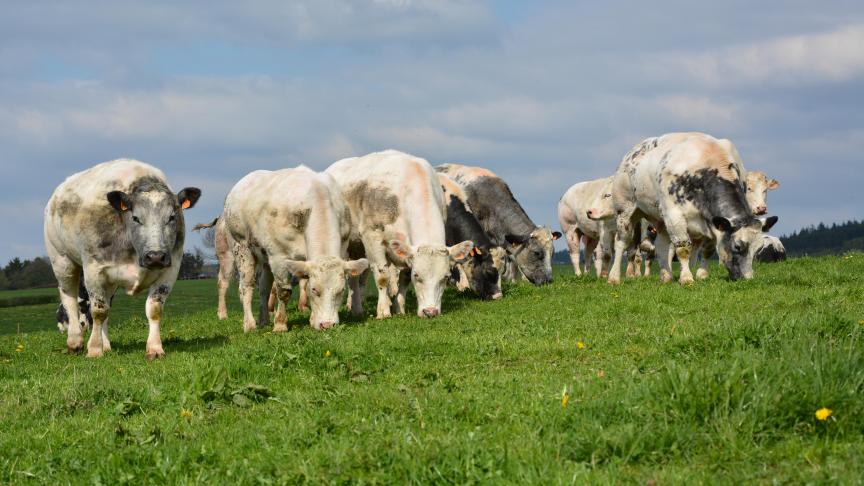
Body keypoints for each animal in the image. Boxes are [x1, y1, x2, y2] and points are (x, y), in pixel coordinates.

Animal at [44, 159, 201, 356]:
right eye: (135, 218)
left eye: (172, 217)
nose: (155, 256)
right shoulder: (93, 270)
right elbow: (98, 311)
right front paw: (94, 349)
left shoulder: (170, 270)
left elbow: (154, 309)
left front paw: (155, 348)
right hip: (62, 260)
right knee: (69, 299)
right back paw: (75, 341)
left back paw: (106, 345)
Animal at [221, 165, 366, 332]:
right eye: (315, 289)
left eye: (341, 290)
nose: (327, 325)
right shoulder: (279, 256)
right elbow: (284, 291)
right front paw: (280, 325)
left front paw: (312, 320)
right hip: (241, 248)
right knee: (246, 286)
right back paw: (249, 324)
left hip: (265, 256)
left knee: (263, 288)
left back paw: (263, 320)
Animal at [326, 150, 472, 320]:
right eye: (417, 275)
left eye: (446, 277)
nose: (430, 312)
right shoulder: (372, 236)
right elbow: (382, 277)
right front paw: (383, 311)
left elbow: (403, 278)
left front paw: (399, 308)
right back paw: (356, 309)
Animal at [600, 133, 776, 284]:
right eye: (737, 246)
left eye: (758, 248)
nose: (747, 278)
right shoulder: (675, 215)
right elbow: (683, 249)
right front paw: (686, 279)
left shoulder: (710, 222)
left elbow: (706, 250)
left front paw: (700, 274)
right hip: (626, 211)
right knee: (621, 243)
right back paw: (613, 278)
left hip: (661, 219)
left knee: (661, 247)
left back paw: (666, 276)